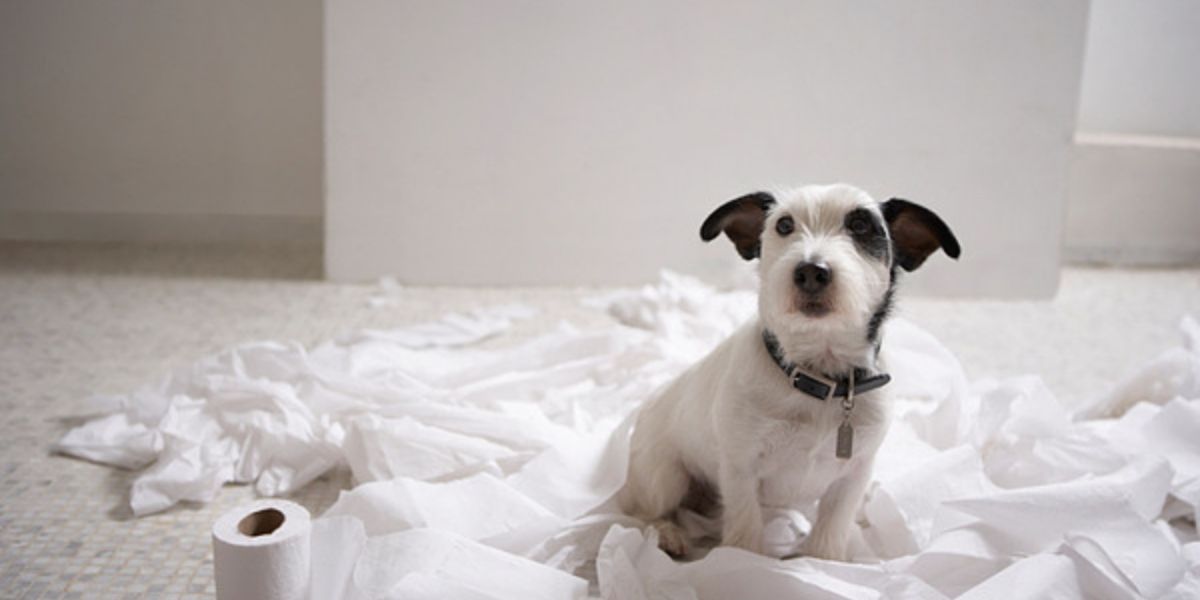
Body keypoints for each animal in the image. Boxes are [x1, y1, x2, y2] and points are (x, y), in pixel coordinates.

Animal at [619, 182, 955, 561]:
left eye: (860, 225)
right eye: (783, 225)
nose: (811, 271)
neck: (819, 377)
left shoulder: (853, 475)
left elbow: (832, 527)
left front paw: (822, 563)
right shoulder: (740, 469)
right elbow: (745, 526)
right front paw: (740, 564)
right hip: (664, 476)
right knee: (642, 512)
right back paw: (666, 534)